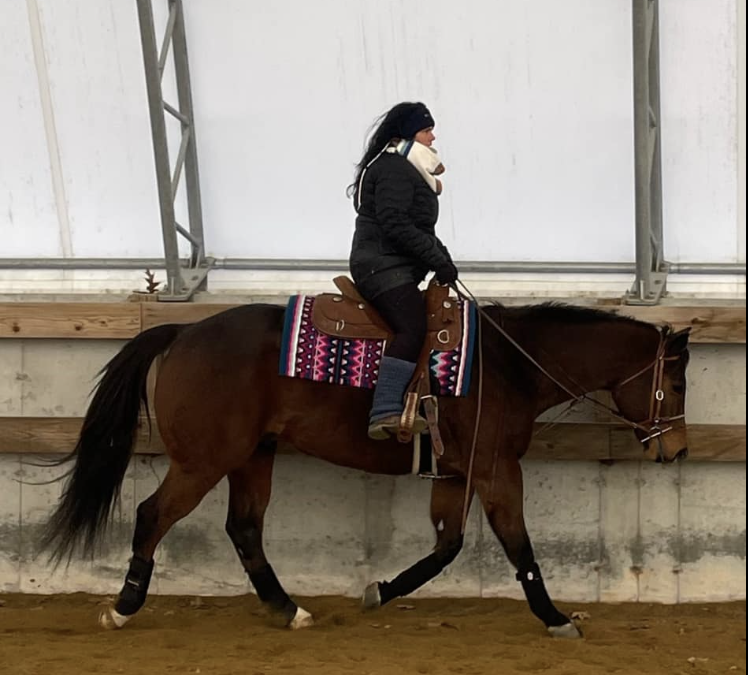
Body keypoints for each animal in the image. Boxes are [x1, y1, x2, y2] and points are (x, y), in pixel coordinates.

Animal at [41, 298, 691, 639]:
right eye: (679, 381)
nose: (678, 450)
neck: (505, 364)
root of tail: (182, 331)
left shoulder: (455, 474)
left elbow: (446, 547)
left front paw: (379, 591)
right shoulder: (496, 469)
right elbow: (518, 545)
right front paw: (555, 618)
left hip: (253, 457)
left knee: (244, 530)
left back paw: (289, 609)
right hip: (204, 461)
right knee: (152, 516)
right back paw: (123, 607)